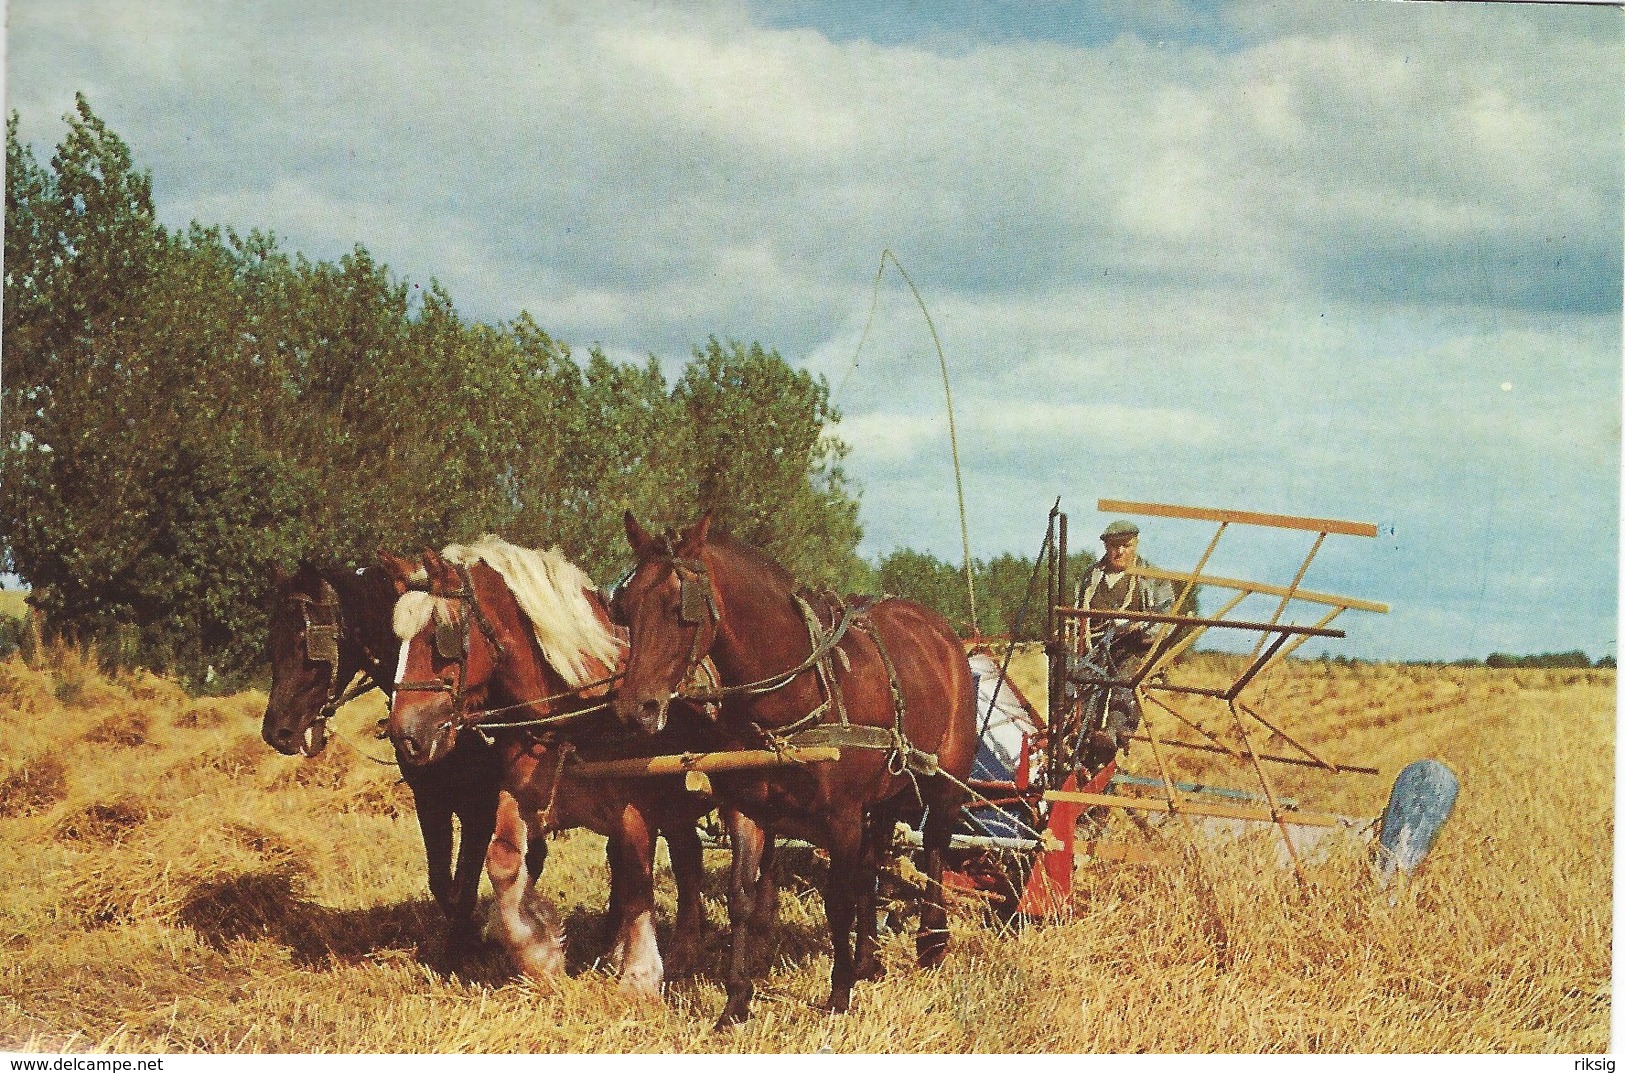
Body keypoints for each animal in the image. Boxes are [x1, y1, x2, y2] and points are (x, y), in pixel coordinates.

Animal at [255, 562, 533, 955]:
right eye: (271, 645)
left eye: (307, 646)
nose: (276, 732)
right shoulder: (429, 797)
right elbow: (442, 881)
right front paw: (462, 938)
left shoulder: (481, 802)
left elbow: (465, 879)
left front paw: (469, 942)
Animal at [380, 539, 718, 994]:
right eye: (396, 639)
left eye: (441, 636)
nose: (406, 736)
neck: (572, 718)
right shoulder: (518, 795)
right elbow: (503, 862)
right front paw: (539, 951)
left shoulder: (637, 810)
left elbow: (638, 881)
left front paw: (641, 974)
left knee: (685, 856)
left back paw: (681, 947)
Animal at [607, 516, 962, 1027]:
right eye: (627, 607)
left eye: (680, 609)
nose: (636, 711)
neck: (796, 692)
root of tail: (940, 632)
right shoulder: (747, 810)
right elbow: (741, 898)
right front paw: (736, 1001)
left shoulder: (842, 817)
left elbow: (837, 901)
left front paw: (838, 995)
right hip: (885, 795)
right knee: (874, 862)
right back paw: (868, 959)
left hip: (943, 779)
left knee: (934, 847)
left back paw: (931, 941)